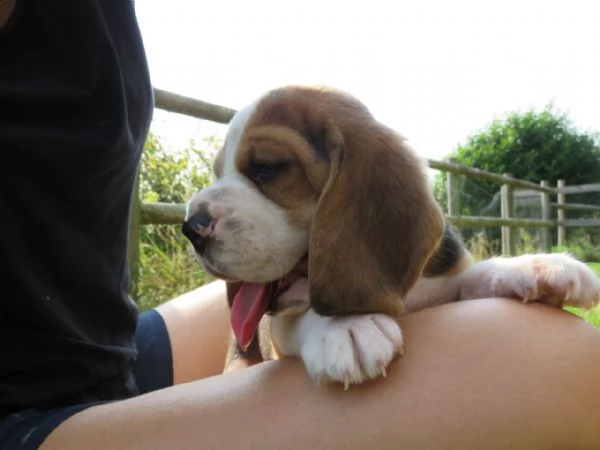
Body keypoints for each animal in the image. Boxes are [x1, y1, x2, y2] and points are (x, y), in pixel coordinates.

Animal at [182, 86, 600, 388]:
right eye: (218, 173)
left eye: (266, 168)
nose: (190, 228)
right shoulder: (279, 329)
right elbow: (301, 317)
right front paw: (343, 325)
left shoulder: (445, 282)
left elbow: (474, 276)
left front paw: (538, 266)